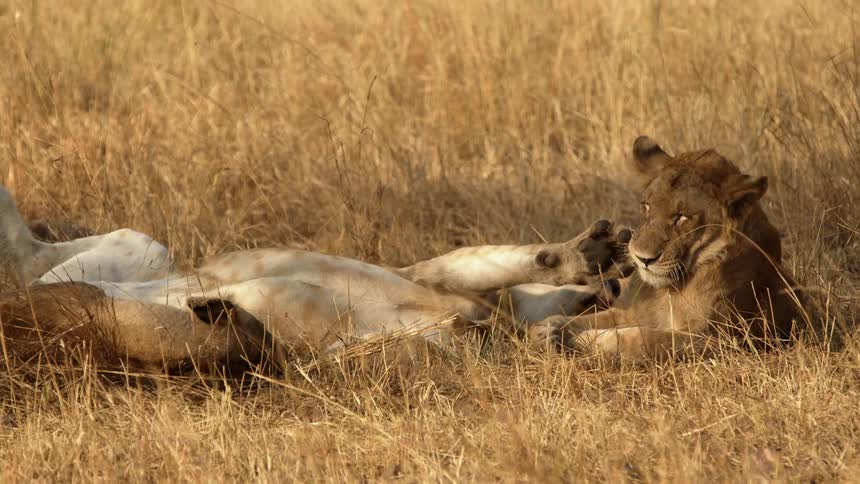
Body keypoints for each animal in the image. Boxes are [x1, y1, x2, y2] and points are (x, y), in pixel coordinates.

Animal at [533, 136, 814, 360]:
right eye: (646, 206)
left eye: (682, 217)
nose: (643, 258)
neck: (667, 290)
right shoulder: (632, 312)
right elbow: (586, 319)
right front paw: (547, 330)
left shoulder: (722, 341)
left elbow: (645, 340)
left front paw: (581, 340)